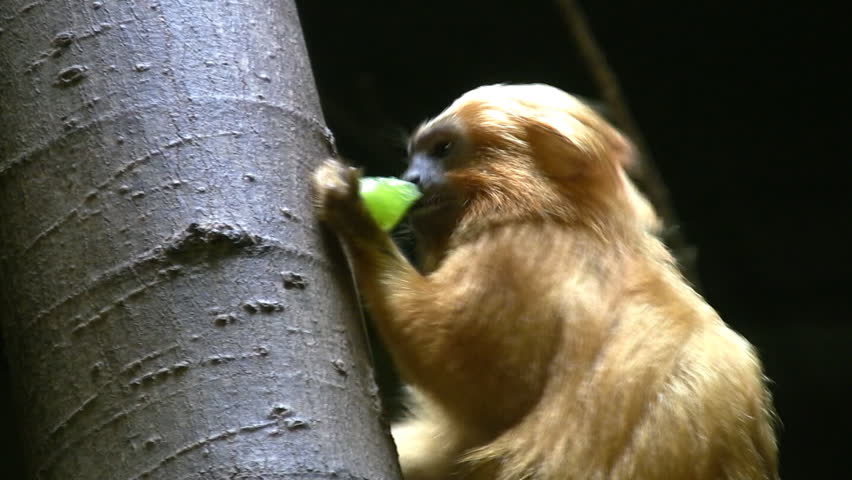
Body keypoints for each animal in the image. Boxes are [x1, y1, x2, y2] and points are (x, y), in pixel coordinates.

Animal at [312, 84, 778, 480]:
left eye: (442, 150)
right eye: (414, 158)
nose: (411, 179)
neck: (554, 217)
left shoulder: (518, 257)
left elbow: (465, 378)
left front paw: (354, 214)